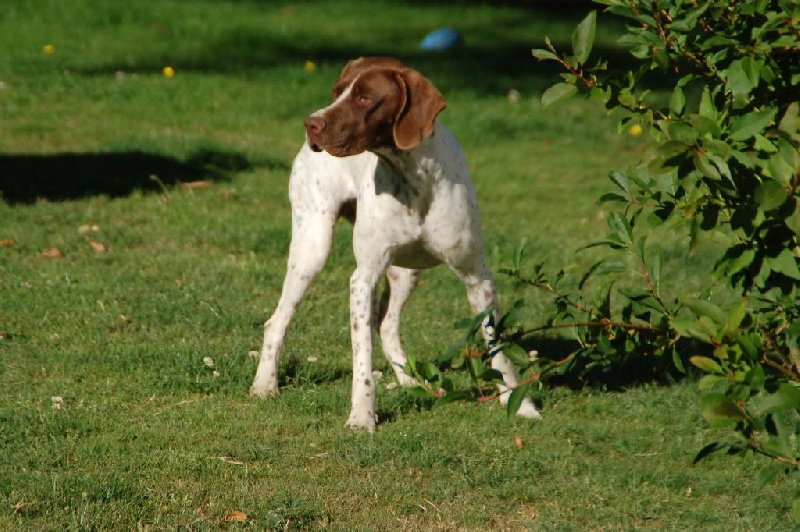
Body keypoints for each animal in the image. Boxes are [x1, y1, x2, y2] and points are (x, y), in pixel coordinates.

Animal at [250, 58, 536, 430]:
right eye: (336, 91)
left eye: (364, 97)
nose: (311, 124)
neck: (413, 177)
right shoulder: (364, 278)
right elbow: (362, 360)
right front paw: (362, 416)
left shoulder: (478, 278)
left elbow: (499, 350)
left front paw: (520, 404)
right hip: (312, 248)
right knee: (278, 320)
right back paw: (265, 384)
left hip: (404, 272)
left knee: (386, 325)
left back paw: (411, 381)